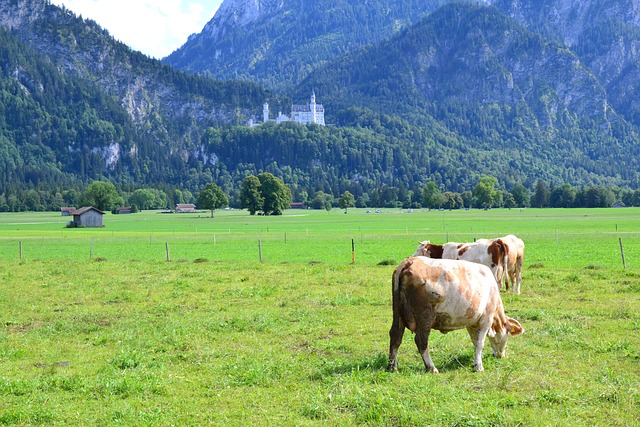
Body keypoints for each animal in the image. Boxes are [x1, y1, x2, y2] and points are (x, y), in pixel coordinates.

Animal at [388, 258, 524, 374]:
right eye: (507, 335)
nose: (501, 355)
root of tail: (410, 261)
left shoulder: (471, 322)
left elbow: (475, 342)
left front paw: (476, 361)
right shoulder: (486, 319)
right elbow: (480, 343)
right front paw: (479, 366)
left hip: (398, 315)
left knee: (395, 336)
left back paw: (392, 367)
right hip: (425, 317)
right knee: (421, 341)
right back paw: (431, 368)